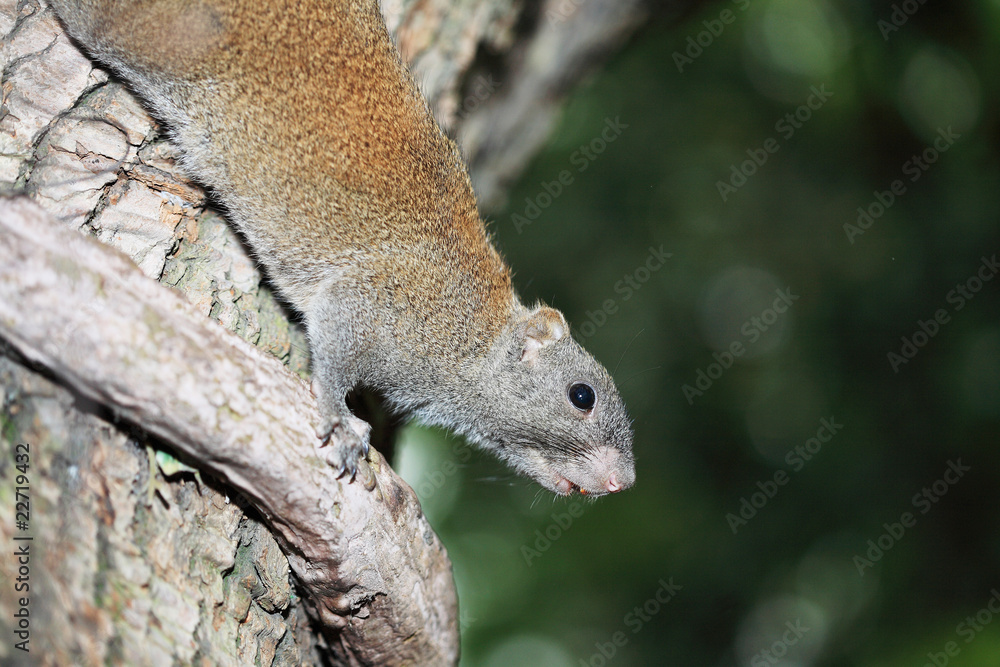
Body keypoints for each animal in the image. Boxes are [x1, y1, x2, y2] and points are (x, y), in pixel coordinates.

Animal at [48, 0, 632, 496]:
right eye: (582, 396)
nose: (621, 482)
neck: (475, 338)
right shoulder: (388, 302)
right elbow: (334, 340)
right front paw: (340, 417)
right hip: (138, 34)